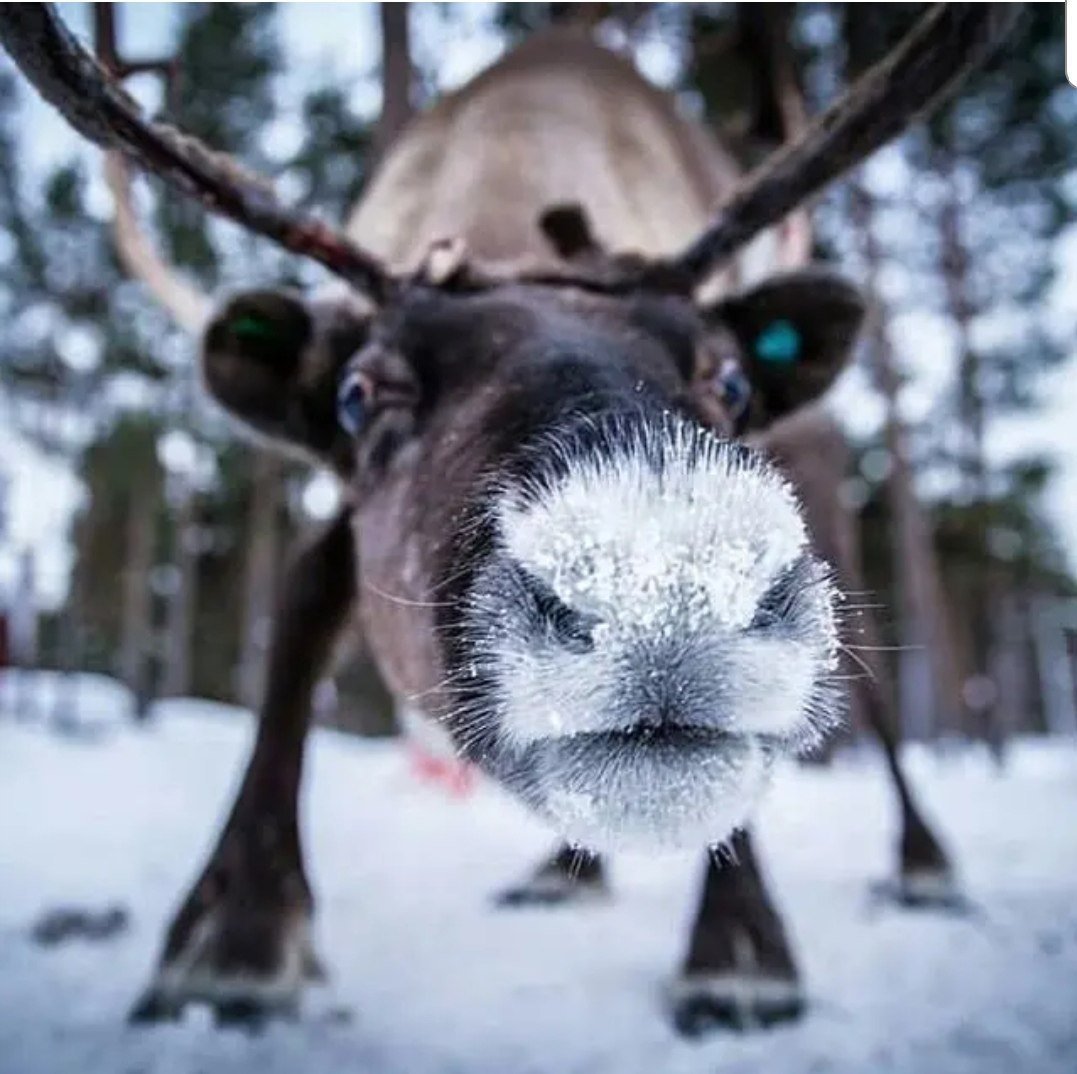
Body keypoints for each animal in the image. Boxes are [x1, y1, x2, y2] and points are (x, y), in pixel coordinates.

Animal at [0, 3, 1015, 1036]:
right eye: (360, 393)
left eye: (729, 378)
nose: (663, 586)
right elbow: (301, 607)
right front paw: (234, 941)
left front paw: (740, 947)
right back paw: (567, 872)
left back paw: (923, 865)